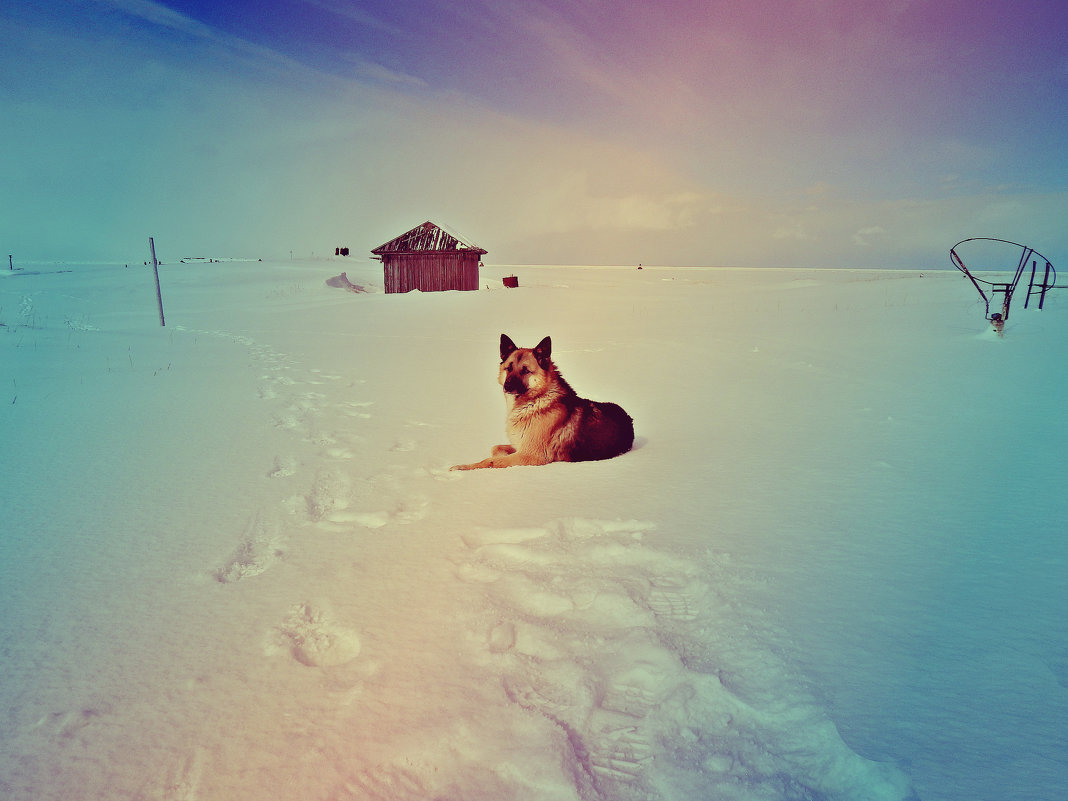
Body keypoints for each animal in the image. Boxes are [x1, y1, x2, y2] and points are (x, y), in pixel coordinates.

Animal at [450, 333, 632, 469]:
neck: (535, 401)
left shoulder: (530, 455)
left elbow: (490, 461)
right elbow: (495, 449)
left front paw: (461, 467)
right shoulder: (520, 446)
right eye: (509, 368)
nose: (507, 386)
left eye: (525, 371)